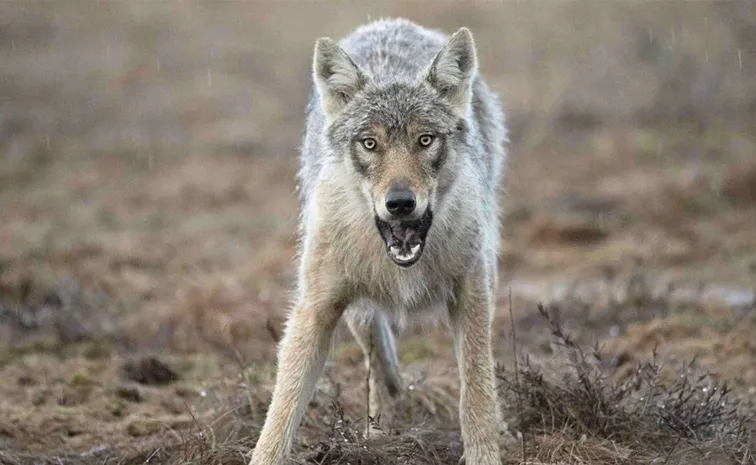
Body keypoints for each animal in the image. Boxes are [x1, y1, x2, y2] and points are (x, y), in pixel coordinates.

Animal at [250, 18, 508, 464]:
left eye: (425, 140)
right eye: (370, 143)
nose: (401, 203)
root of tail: (390, 23)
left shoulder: (472, 293)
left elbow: (477, 387)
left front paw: (485, 452)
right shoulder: (315, 308)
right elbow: (283, 406)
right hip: (355, 310)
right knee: (379, 356)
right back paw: (381, 427)